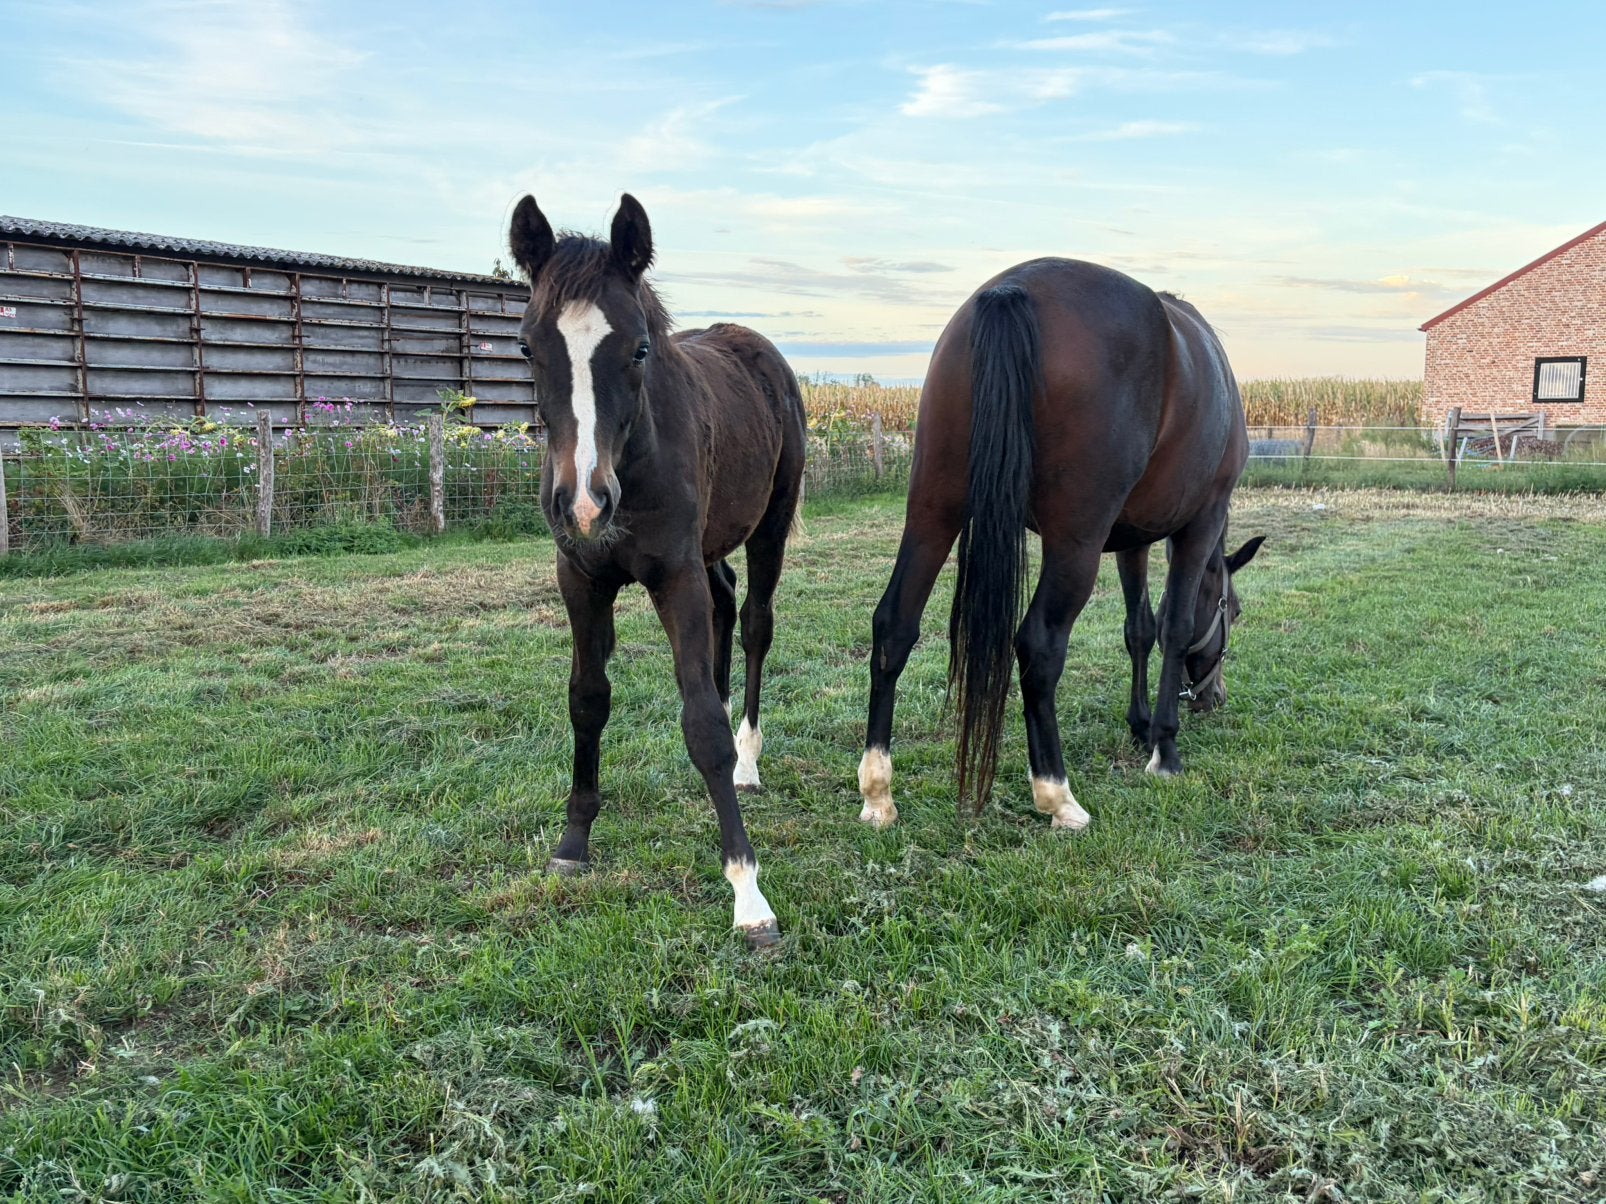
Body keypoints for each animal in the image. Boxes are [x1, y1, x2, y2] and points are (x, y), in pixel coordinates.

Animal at [508, 193, 806, 948]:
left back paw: (748, 758)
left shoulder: (675, 576)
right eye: (528, 346)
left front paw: (748, 893)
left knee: (755, 623)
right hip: (710, 548)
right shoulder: (581, 578)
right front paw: (573, 843)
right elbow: (588, 699)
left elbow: (701, 722)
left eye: (639, 349)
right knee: (727, 602)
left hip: (768, 527)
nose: (584, 502)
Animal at [856, 258, 1264, 830]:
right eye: (1237, 611)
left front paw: (1140, 723)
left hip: (934, 510)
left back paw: (878, 792)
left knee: (894, 624)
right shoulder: (1199, 523)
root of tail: (1014, 289)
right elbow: (1175, 627)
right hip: (1076, 541)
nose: (1214, 698)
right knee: (1039, 645)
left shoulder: (1132, 540)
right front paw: (1164, 748)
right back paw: (1056, 794)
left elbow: (1139, 628)